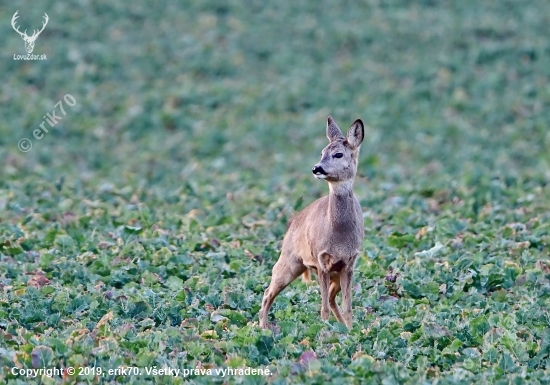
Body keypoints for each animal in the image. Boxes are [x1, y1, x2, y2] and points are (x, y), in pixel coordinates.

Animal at [260, 115, 366, 328]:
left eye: (339, 154)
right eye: (322, 152)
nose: (317, 168)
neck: (339, 235)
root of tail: (294, 220)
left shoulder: (349, 263)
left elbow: (348, 307)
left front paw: (351, 331)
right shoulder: (321, 260)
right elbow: (323, 308)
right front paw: (323, 331)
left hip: (331, 274)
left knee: (332, 299)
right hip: (290, 260)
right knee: (268, 292)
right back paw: (263, 328)